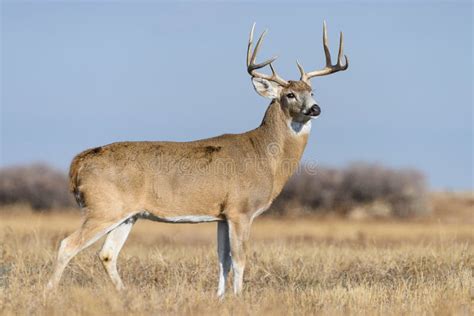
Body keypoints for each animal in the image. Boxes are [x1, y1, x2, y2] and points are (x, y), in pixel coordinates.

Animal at [45, 21, 348, 296]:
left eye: (312, 92)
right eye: (290, 94)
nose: (315, 108)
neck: (264, 155)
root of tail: (78, 163)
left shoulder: (221, 215)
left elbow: (223, 260)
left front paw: (221, 298)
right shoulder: (240, 210)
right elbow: (240, 259)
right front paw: (239, 298)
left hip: (126, 215)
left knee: (107, 254)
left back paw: (126, 295)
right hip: (103, 208)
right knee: (67, 245)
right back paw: (50, 293)